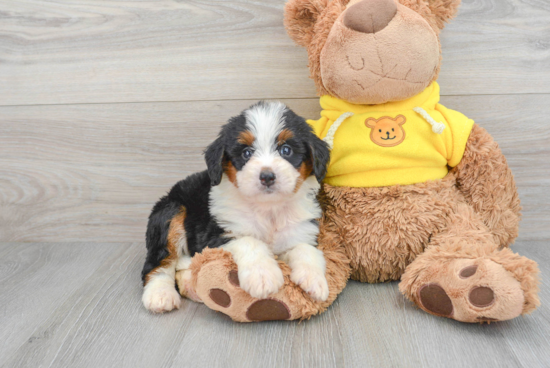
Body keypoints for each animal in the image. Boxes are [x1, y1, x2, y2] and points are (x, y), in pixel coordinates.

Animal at [143, 101, 332, 314]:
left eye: (286, 150)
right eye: (246, 153)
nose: (267, 176)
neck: (268, 210)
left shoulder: (300, 230)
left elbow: (306, 249)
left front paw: (314, 279)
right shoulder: (216, 235)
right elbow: (250, 241)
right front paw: (263, 275)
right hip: (172, 212)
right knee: (159, 261)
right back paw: (160, 294)